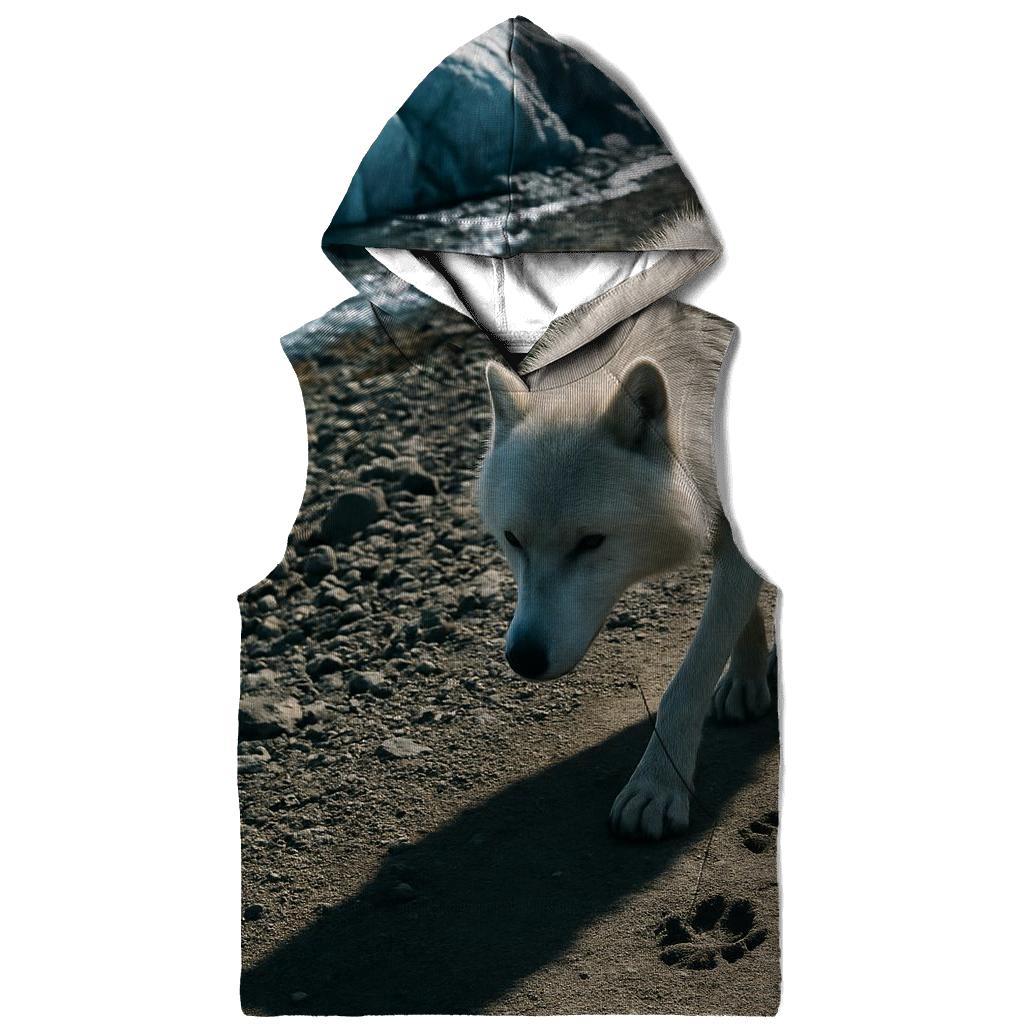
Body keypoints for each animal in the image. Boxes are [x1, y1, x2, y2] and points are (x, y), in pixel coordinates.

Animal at [477, 346, 772, 841]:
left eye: (590, 542)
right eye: (513, 540)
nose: (524, 658)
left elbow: (689, 679)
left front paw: (656, 788)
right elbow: (740, 612)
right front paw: (747, 679)